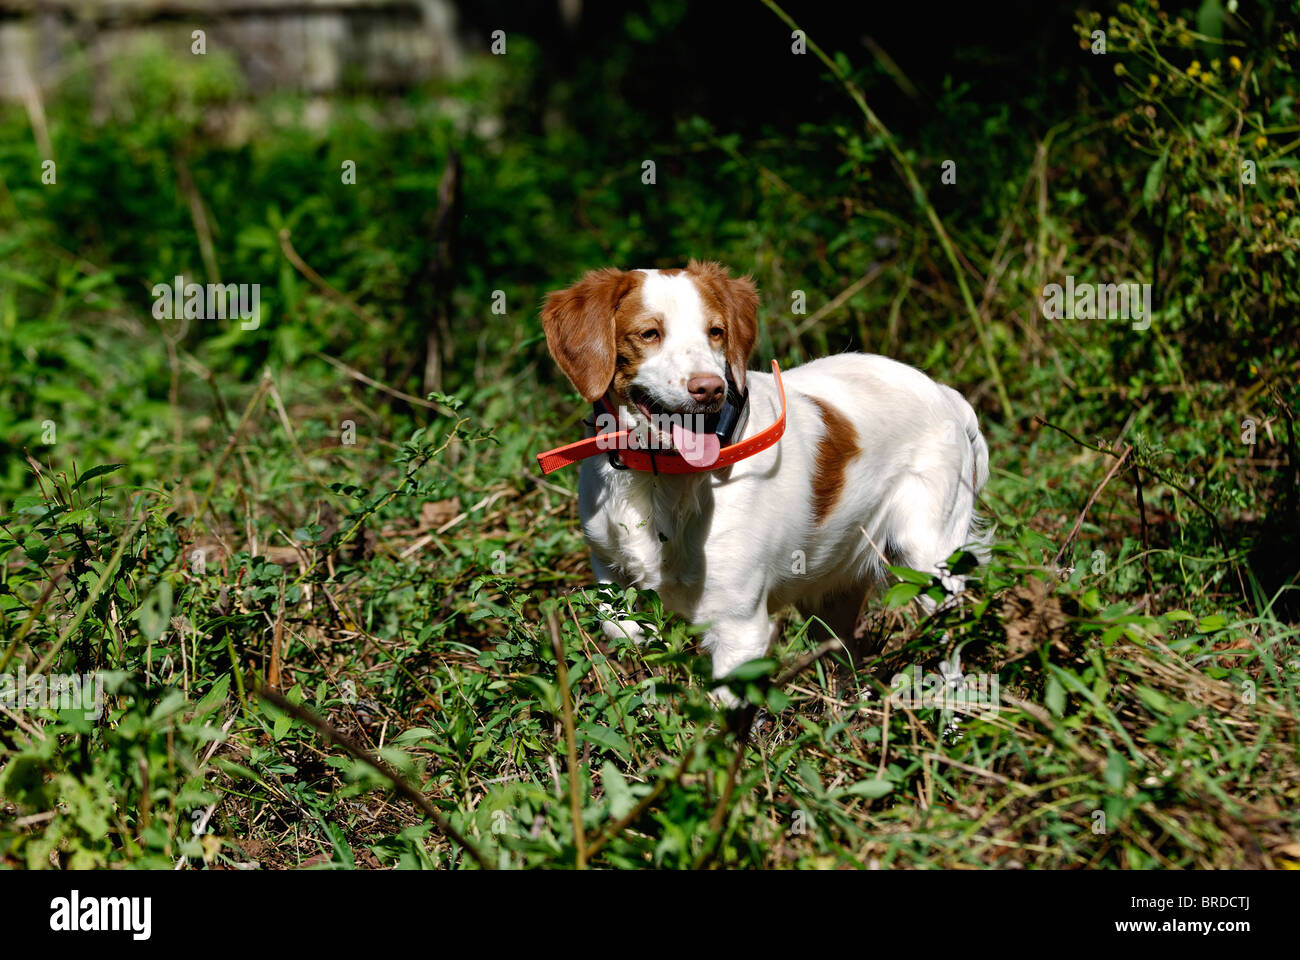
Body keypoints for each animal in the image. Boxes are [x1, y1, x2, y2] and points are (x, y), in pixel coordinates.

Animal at [538, 260, 982, 697]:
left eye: (716, 332)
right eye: (650, 333)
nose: (709, 389)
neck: (661, 475)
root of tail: (946, 394)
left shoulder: (740, 627)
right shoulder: (607, 566)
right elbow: (618, 627)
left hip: (929, 562)